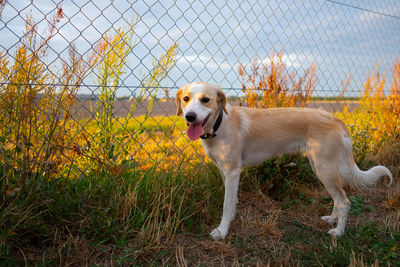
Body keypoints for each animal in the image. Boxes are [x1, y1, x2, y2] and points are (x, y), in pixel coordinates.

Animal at [174, 82, 390, 241]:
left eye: (205, 100)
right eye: (186, 99)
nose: (189, 116)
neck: (219, 125)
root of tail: (334, 118)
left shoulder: (233, 172)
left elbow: (226, 206)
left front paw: (222, 231)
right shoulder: (224, 172)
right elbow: (232, 202)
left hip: (324, 169)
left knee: (344, 201)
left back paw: (339, 232)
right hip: (319, 166)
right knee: (338, 198)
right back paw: (332, 220)